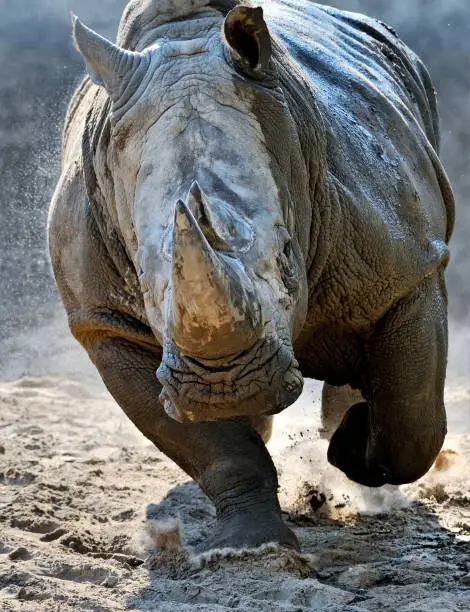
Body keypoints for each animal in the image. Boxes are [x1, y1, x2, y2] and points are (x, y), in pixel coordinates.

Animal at [46, 0, 452, 552]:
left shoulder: (408, 270)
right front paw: (249, 548)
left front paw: (348, 446)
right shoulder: (106, 321)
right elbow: (220, 452)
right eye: (144, 282)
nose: (226, 387)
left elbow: (411, 422)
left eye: (286, 258)